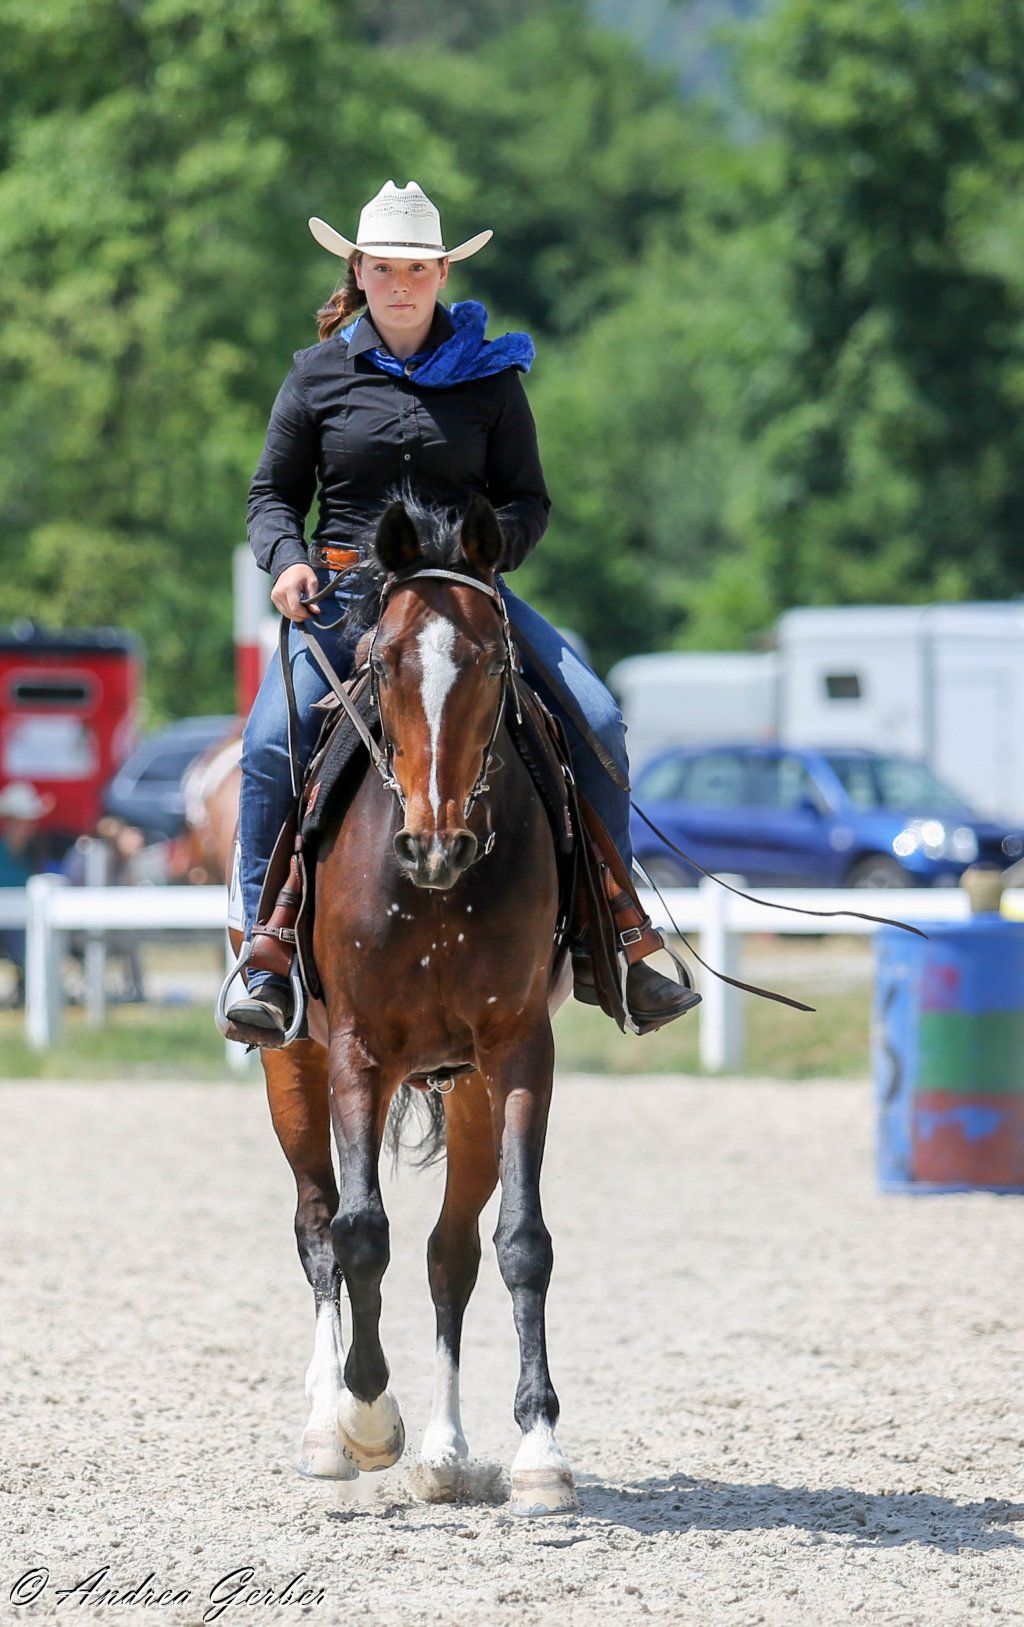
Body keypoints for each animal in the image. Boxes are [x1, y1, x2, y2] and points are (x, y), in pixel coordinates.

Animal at [225, 492, 579, 1515]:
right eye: (383, 661)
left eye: (494, 660)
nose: (434, 844)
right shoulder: (356, 1050)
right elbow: (356, 1231)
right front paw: (366, 1413)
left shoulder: (517, 1051)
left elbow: (519, 1243)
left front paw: (538, 1445)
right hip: (292, 1069)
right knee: (316, 1230)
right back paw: (326, 1428)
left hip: (465, 1091)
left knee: (449, 1253)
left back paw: (450, 1452)